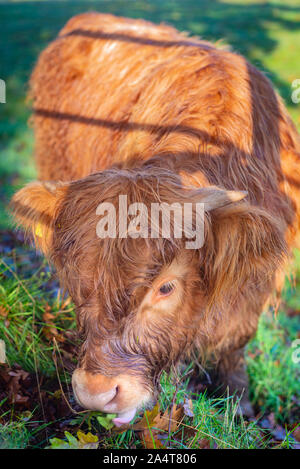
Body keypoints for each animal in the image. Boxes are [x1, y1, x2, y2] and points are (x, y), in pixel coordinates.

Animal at [11, 13, 300, 424]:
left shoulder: (257, 278)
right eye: (78, 278)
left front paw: (239, 404)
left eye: (166, 288)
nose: (97, 393)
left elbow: (237, 340)